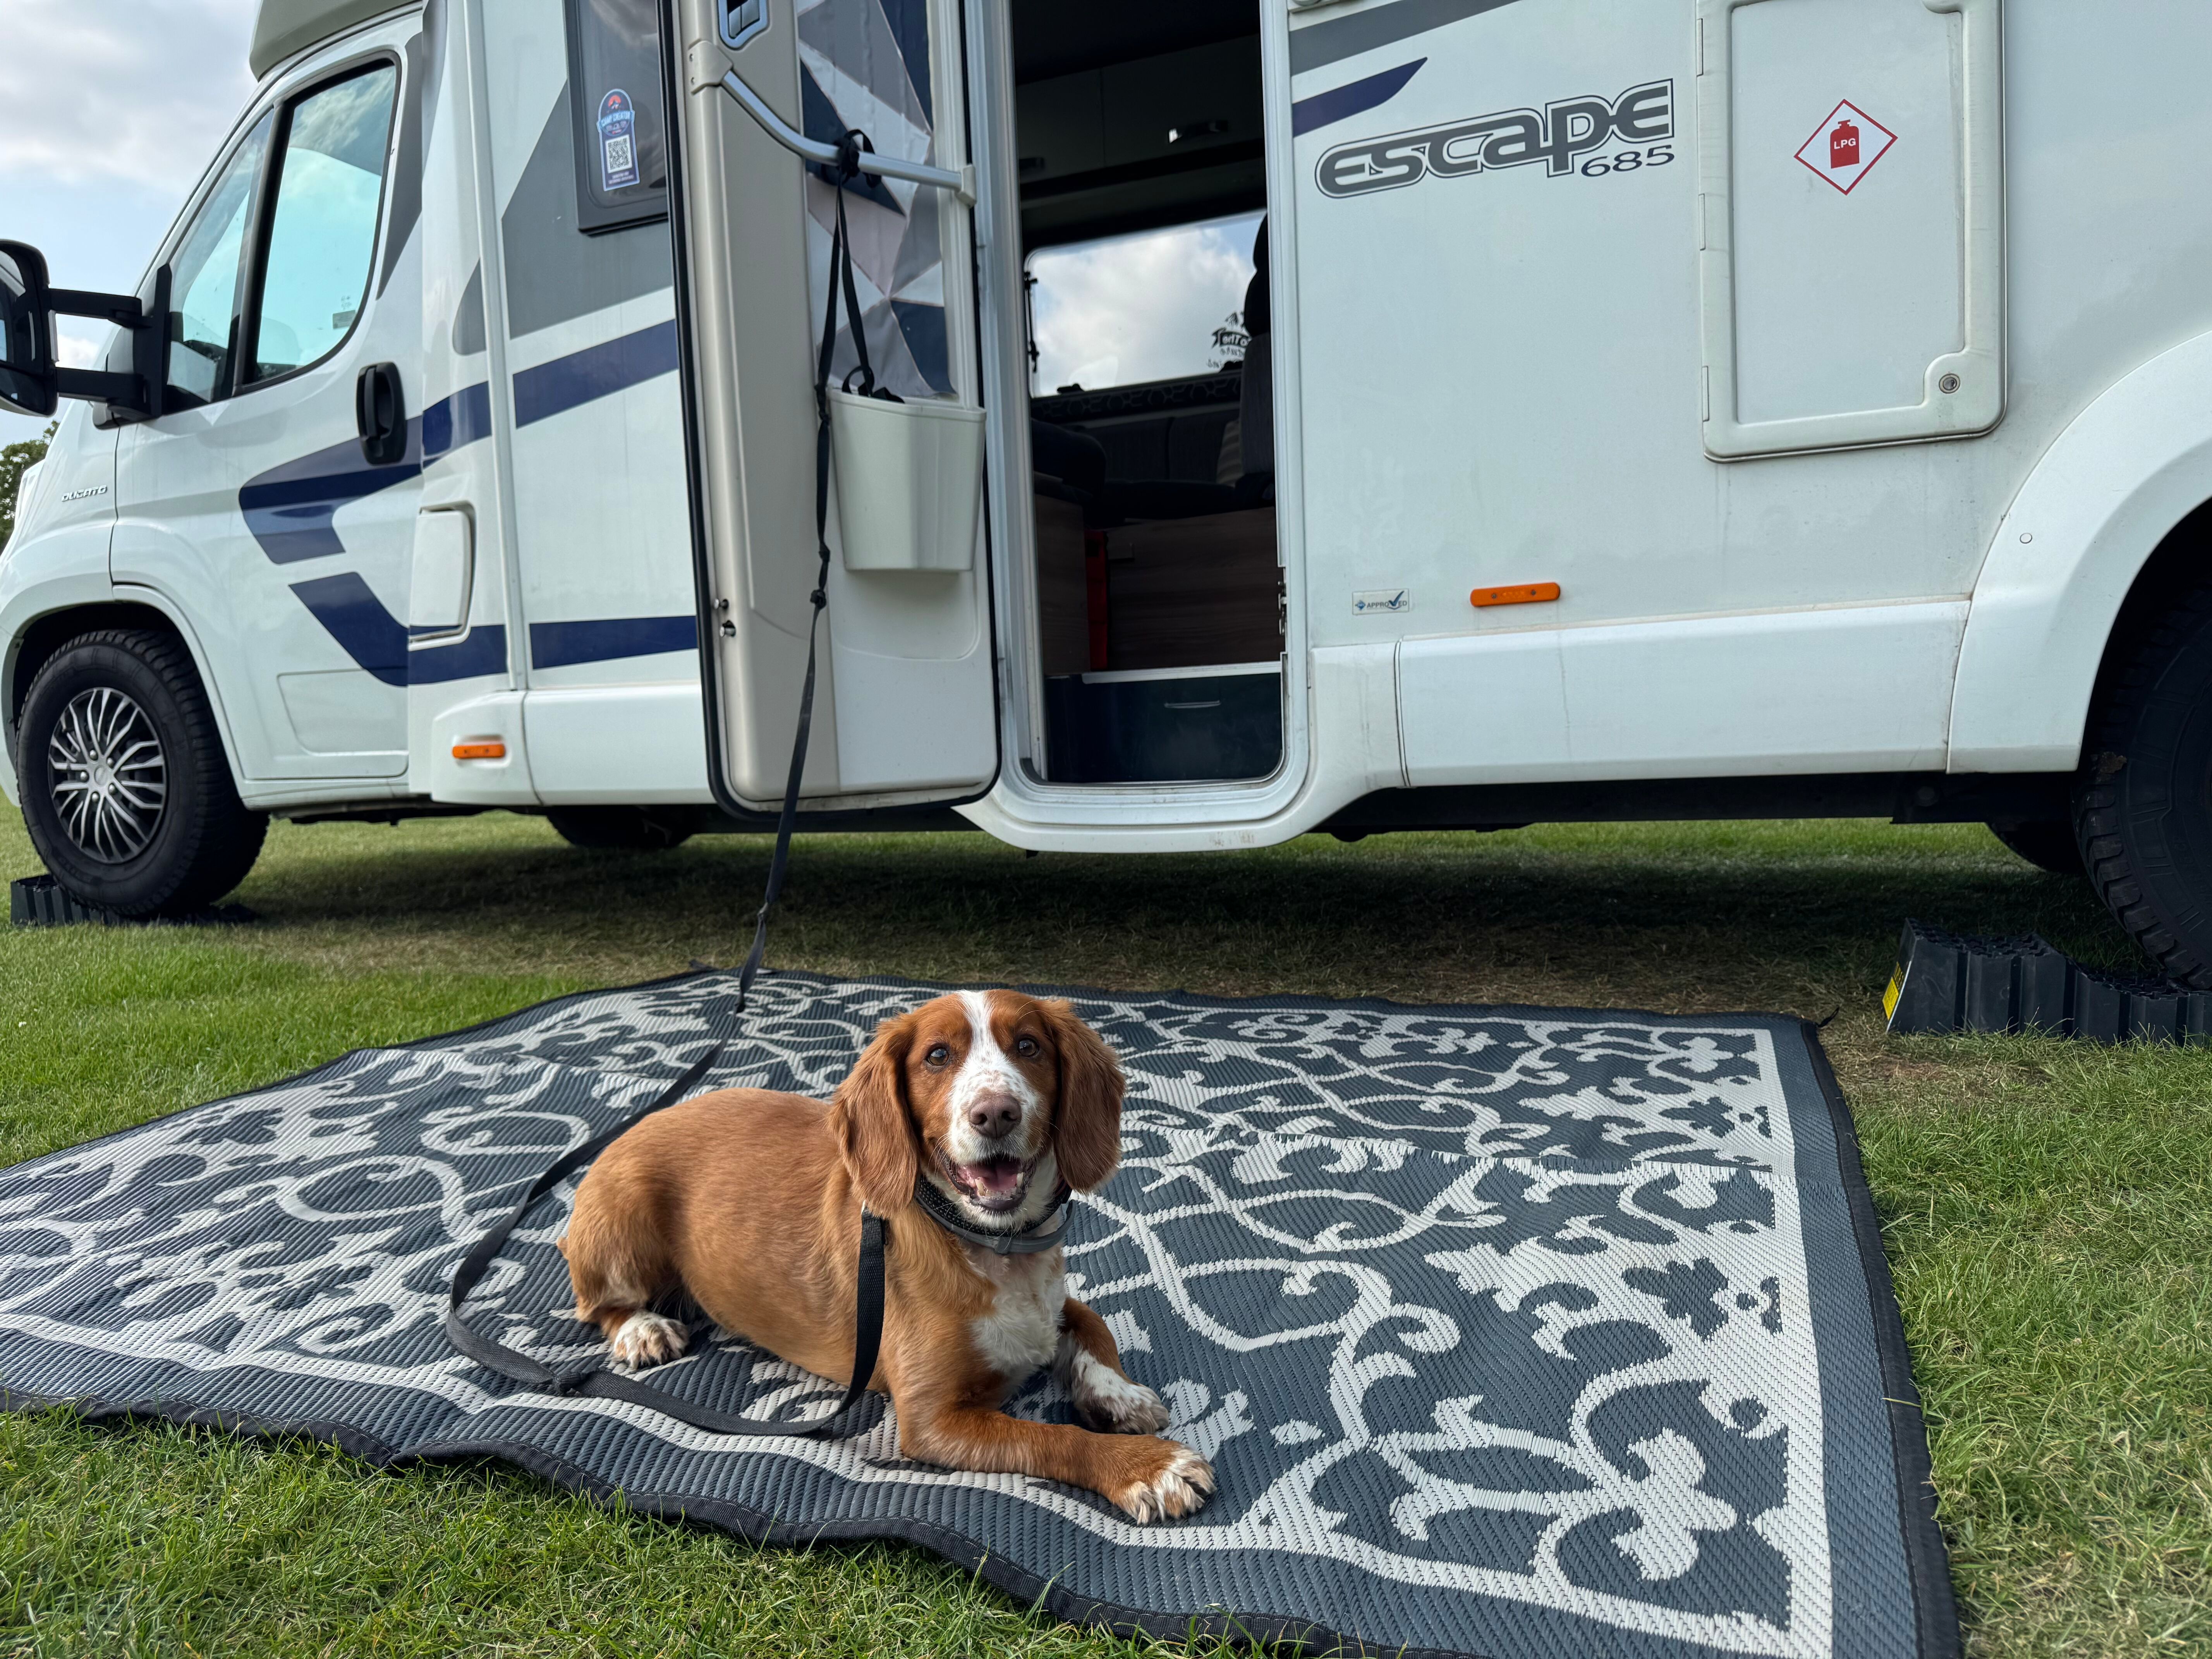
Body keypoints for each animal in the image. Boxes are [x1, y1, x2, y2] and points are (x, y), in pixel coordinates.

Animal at [557, 990, 1215, 1522]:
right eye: (937, 1057)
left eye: (1028, 1046)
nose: (996, 1113)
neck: (993, 1244)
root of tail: (638, 1122)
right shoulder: (933, 1421)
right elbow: (1051, 1438)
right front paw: (1146, 1467)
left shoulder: (1051, 1306)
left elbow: (1093, 1322)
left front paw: (1120, 1395)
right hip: (622, 1220)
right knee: (599, 1304)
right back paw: (642, 1331)